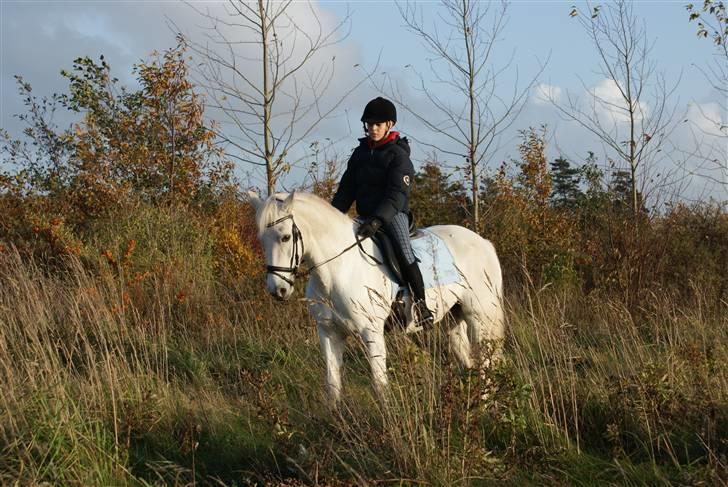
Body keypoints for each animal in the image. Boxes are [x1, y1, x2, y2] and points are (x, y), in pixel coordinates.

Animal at [247, 191, 504, 404]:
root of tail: (483, 242)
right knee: (469, 361)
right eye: (261, 239)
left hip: (480, 317)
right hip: (453, 319)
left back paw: (484, 404)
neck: (338, 270)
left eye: (285, 237)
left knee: (487, 362)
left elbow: (379, 385)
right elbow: (333, 384)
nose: (278, 290)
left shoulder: (371, 332)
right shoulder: (329, 333)